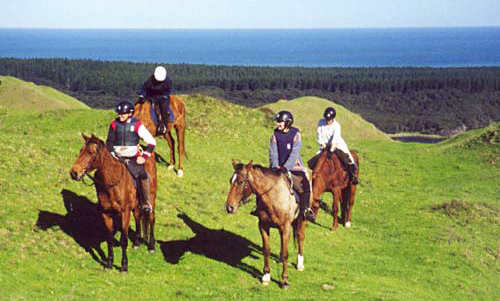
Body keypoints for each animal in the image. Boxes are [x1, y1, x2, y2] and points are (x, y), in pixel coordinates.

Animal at [68, 134, 157, 272]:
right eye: (80, 151)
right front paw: (109, 264)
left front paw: (124, 266)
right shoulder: (106, 213)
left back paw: (151, 246)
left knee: (151, 219)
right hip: (136, 205)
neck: (112, 181)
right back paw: (137, 243)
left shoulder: (125, 213)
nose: (74, 172)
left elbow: (123, 240)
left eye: (90, 152)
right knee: (138, 217)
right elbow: (109, 238)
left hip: (151, 198)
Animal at [224, 159, 308, 288]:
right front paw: (266, 276)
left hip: (303, 219)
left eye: (240, 182)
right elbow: (266, 250)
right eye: (230, 180)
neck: (273, 197)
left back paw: (300, 264)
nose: (229, 207)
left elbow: (285, 253)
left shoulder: (285, 228)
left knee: (300, 237)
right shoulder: (263, 226)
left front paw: (284, 280)